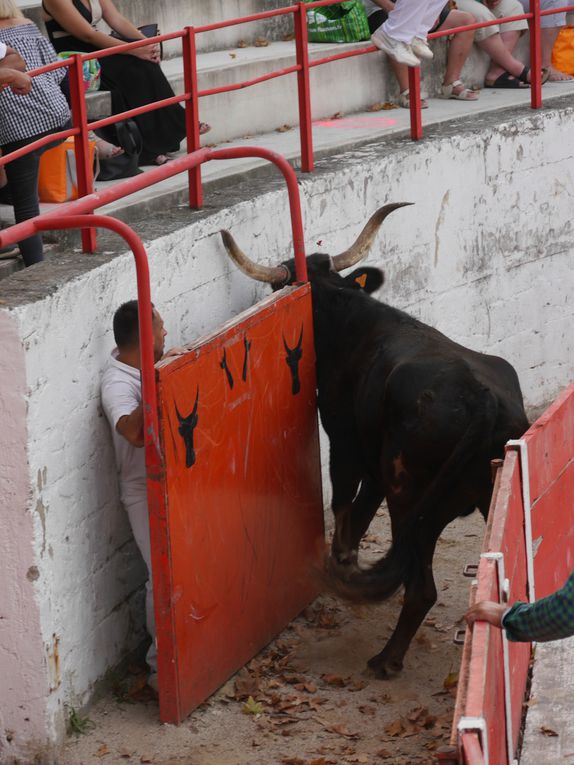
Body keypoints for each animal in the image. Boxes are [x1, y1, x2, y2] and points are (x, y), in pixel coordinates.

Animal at [220, 203, 532, 676]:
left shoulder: (344, 444)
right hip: (477, 493)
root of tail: (482, 401)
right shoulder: (374, 463)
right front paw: (346, 559)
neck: (345, 313)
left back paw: (386, 659)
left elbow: (344, 501)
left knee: (420, 586)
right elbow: (363, 509)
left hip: (411, 500)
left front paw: (341, 559)